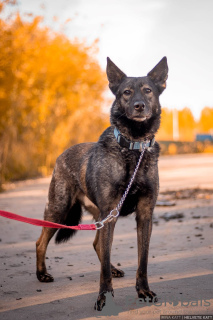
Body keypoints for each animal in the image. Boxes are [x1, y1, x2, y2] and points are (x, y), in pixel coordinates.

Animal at [35, 56, 168, 312]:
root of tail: (62, 153)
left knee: (98, 245)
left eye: (148, 90)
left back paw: (114, 269)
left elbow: (143, 260)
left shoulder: (145, 214)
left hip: (98, 216)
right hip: (59, 209)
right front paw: (104, 297)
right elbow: (103, 267)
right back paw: (41, 274)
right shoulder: (111, 213)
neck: (133, 146)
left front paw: (143, 290)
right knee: (41, 241)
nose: (139, 106)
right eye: (126, 92)